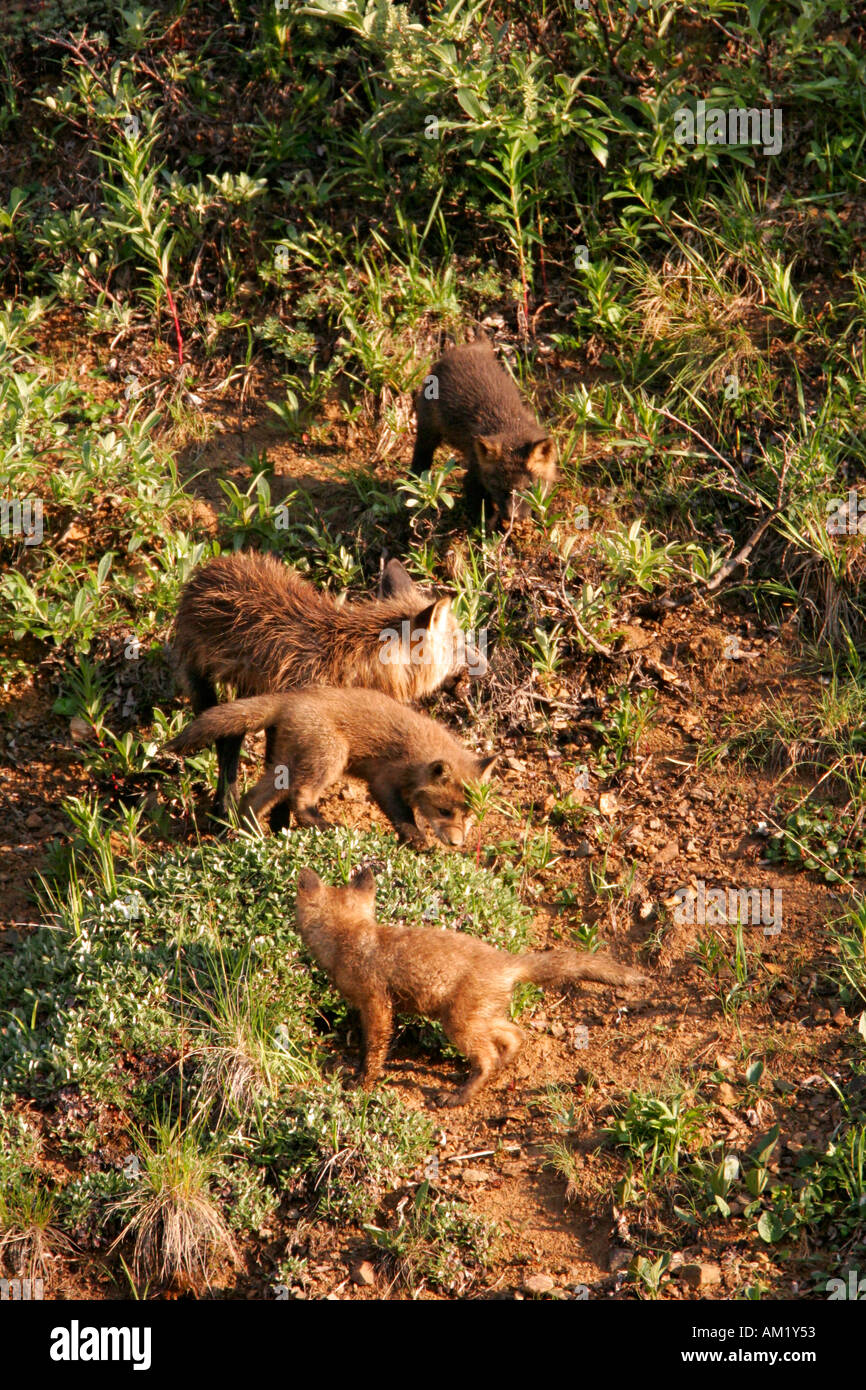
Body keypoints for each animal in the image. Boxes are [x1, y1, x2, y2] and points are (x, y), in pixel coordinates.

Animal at [166, 686, 497, 849]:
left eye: (469, 816)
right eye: (444, 811)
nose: (456, 843)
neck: (417, 755)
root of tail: (291, 699)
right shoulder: (383, 781)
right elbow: (402, 815)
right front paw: (416, 839)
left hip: (286, 765)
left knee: (252, 799)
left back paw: (251, 834)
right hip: (331, 755)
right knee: (301, 800)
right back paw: (324, 826)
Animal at [171, 551, 486, 816]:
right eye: (458, 644)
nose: (484, 662)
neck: (349, 659)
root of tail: (213, 565)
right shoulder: (295, 719)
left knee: (231, 739)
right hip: (203, 685)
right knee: (223, 743)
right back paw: (225, 803)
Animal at [295, 867, 647, 1106]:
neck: (350, 939)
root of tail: (507, 962)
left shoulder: (377, 1003)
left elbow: (375, 1049)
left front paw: (362, 1083)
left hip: (457, 1022)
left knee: (488, 1055)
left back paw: (456, 1096)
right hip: (480, 1015)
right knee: (514, 1036)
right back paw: (499, 1070)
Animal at [411, 331, 558, 526]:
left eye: (528, 488)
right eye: (498, 487)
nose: (511, 517)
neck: (509, 424)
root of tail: (464, 349)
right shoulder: (474, 475)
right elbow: (482, 513)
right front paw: (491, 530)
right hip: (429, 427)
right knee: (421, 452)